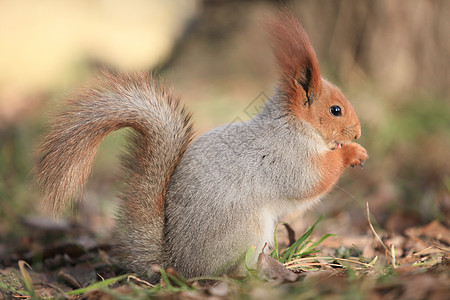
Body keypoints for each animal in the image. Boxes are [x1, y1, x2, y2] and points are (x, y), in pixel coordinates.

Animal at [34, 10, 366, 280]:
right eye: (335, 110)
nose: (359, 133)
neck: (294, 124)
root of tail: (178, 265)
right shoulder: (286, 156)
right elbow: (312, 181)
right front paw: (351, 154)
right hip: (246, 231)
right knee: (231, 271)